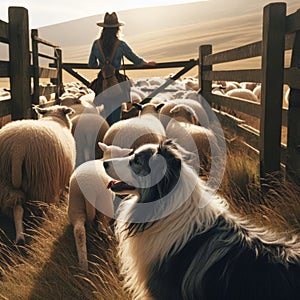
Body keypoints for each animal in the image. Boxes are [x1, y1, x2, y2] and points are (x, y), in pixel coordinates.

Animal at [0, 105, 75, 244]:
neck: (54, 118)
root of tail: (18, 149)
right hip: (41, 183)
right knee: (37, 209)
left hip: (5, 181)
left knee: (17, 207)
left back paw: (20, 237)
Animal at [69, 142, 132, 270]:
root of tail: (88, 189)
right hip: (105, 203)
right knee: (101, 226)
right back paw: (109, 236)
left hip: (75, 203)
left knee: (79, 230)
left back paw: (83, 265)